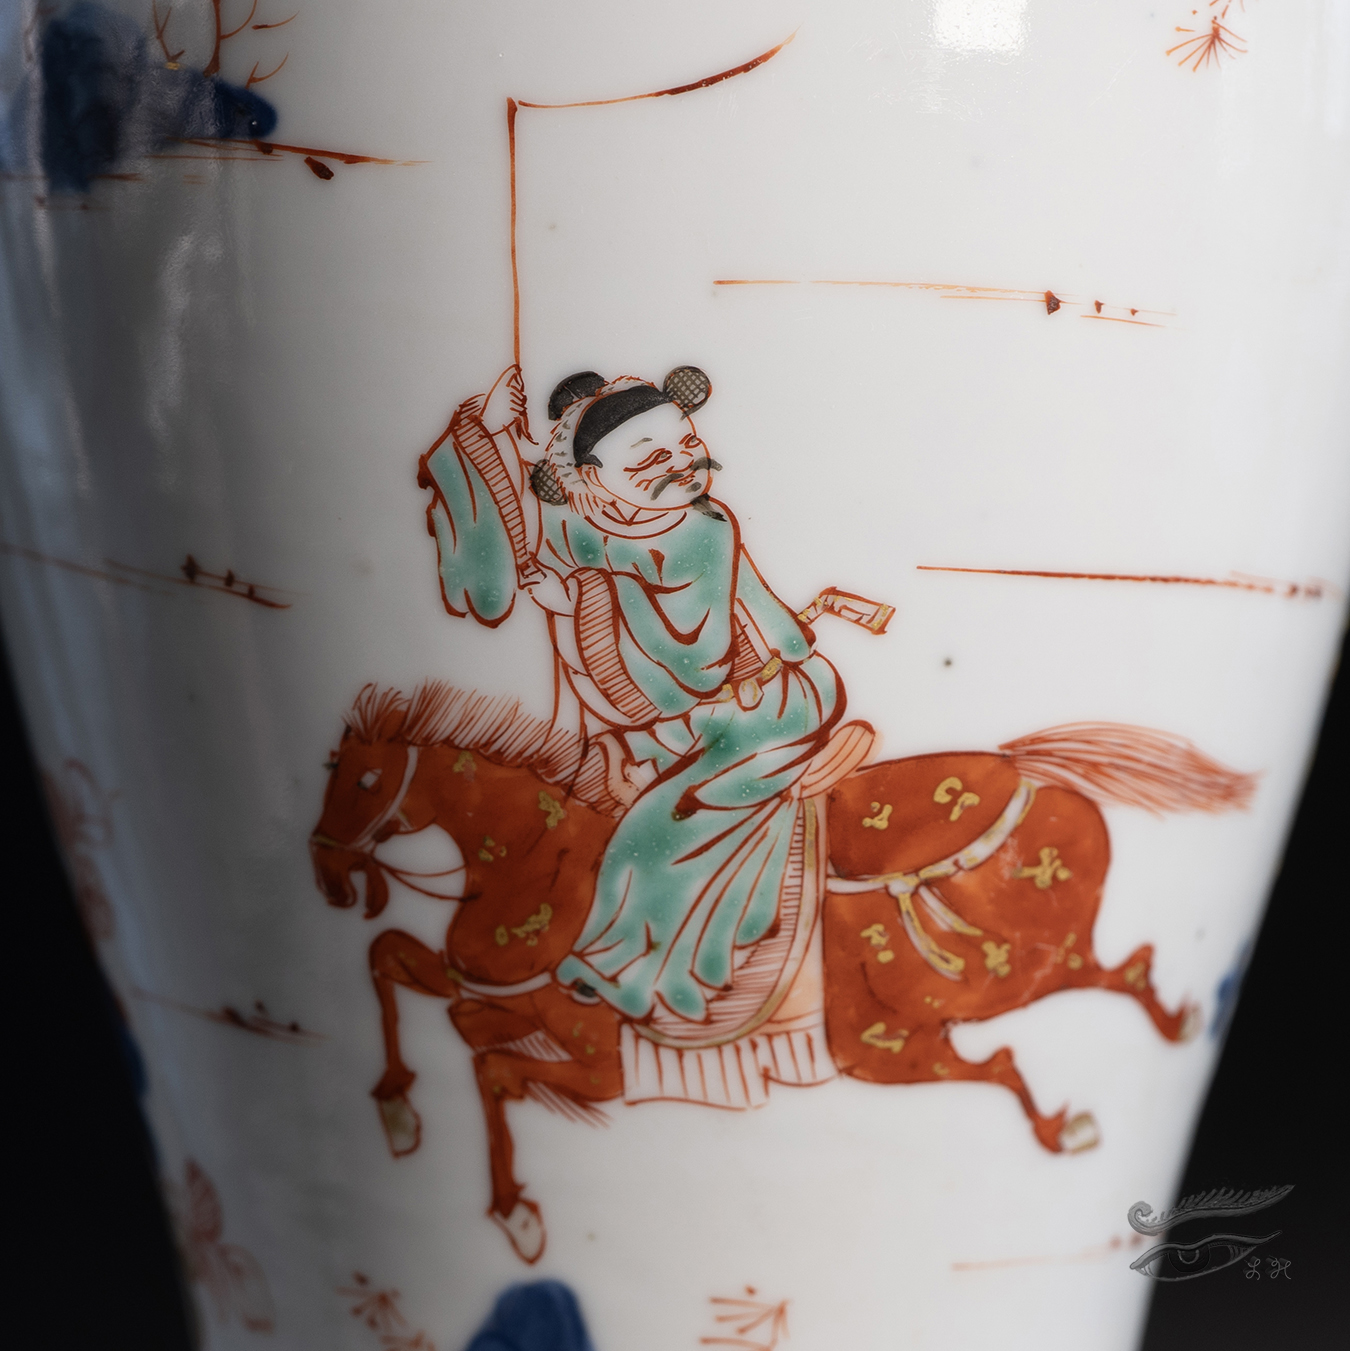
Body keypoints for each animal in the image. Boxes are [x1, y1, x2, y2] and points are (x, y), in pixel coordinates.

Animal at [309, 682, 1253, 1264]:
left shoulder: (604, 1056)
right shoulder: (502, 994)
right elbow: (402, 973)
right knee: (1074, 996)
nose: (328, 876)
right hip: (940, 1008)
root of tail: (1016, 764)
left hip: (921, 1019)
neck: (547, 875)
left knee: (1056, 1010)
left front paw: (517, 1213)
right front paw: (397, 1105)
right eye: (327, 772)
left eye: (367, 777)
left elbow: (495, 1068)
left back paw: (1117, 1076)